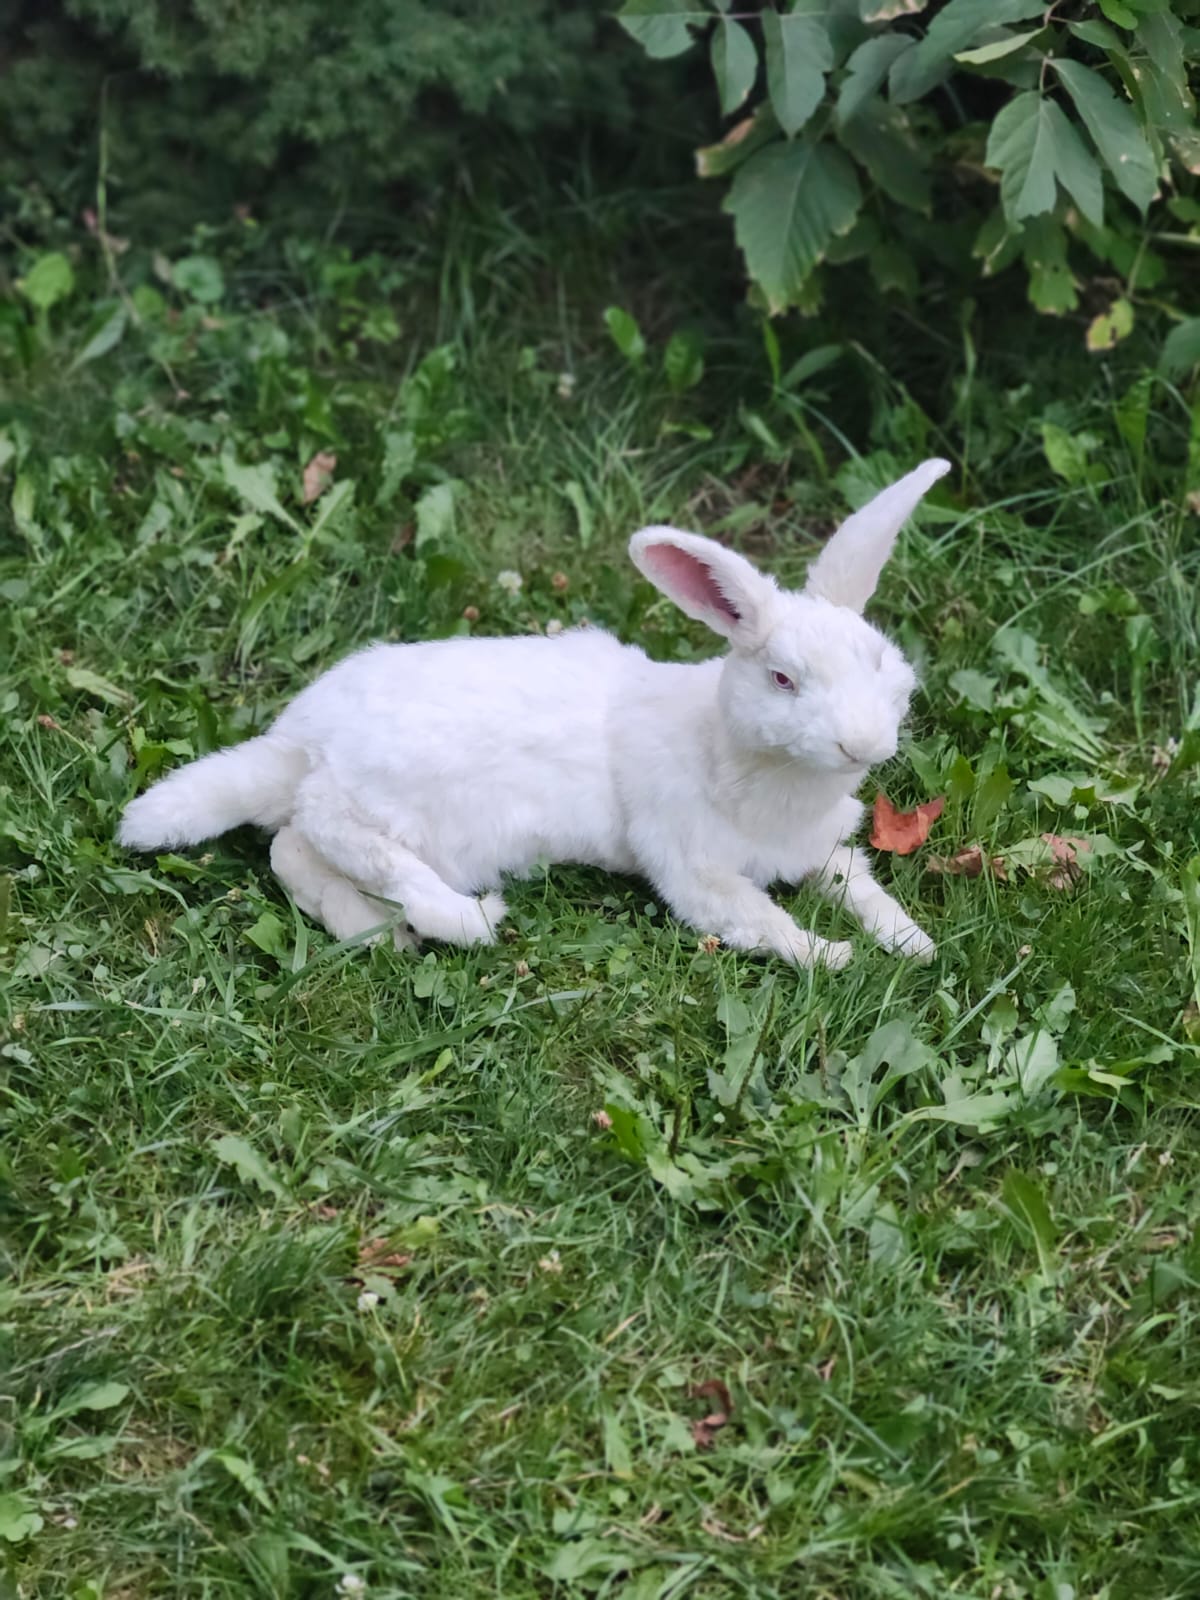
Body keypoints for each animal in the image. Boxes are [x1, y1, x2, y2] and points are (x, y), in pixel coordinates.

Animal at [118, 457, 949, 968]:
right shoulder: (695, 872)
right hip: (380, 816)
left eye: (880, 661)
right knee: (335, 851)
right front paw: (831, 957)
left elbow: (862, 886)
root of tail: (299, 746)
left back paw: (382, 934)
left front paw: (914, 944)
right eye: (782, 678)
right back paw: (454, 923)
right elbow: (760, 920)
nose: (862, 745)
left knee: (289, 850)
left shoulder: (824, 849)